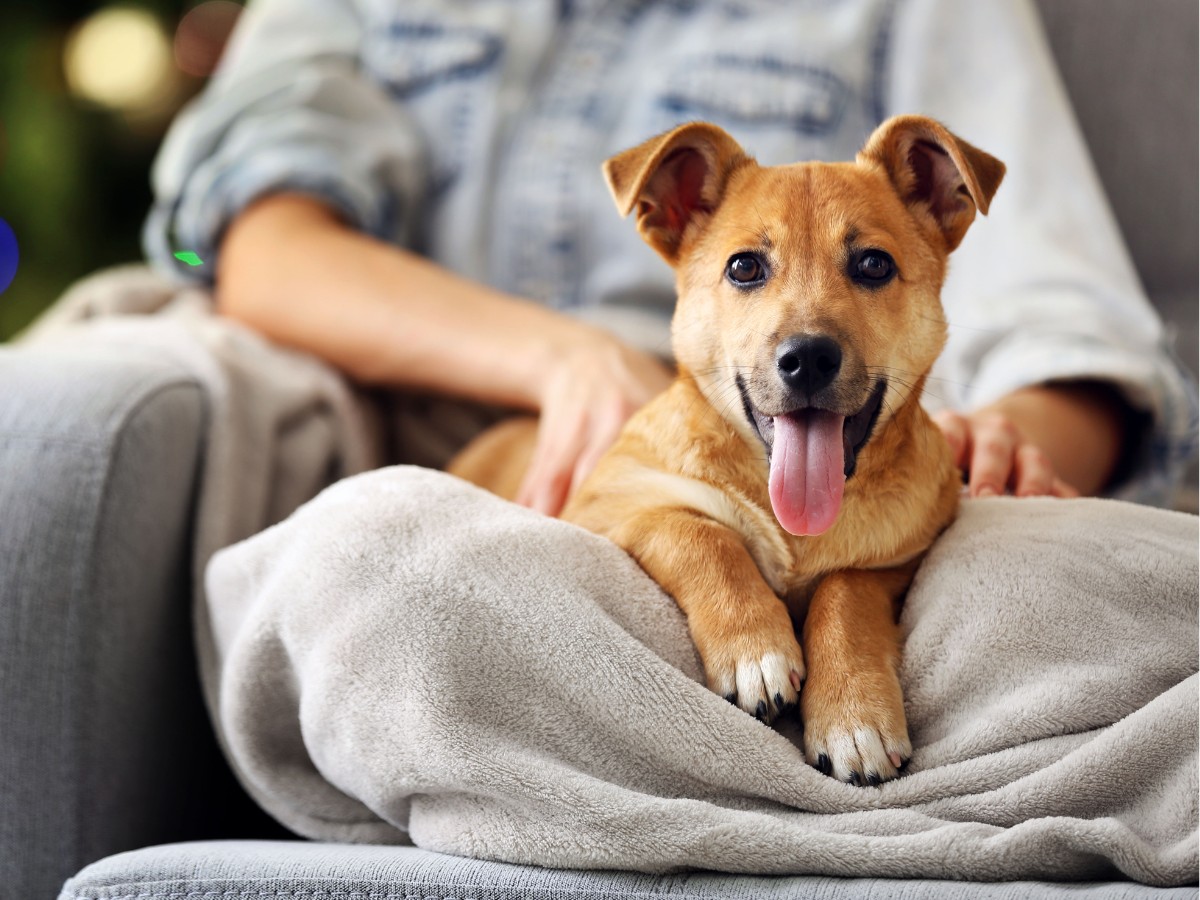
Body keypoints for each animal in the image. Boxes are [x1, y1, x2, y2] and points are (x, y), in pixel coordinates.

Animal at [451, 116, 1003, 787]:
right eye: (744, 267)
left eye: (874, 265)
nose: (808, 358)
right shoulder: (606, 507)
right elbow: (701, 534)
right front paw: (754, 651)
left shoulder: (901, 557)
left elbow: (846, 591)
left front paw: (854, 715)